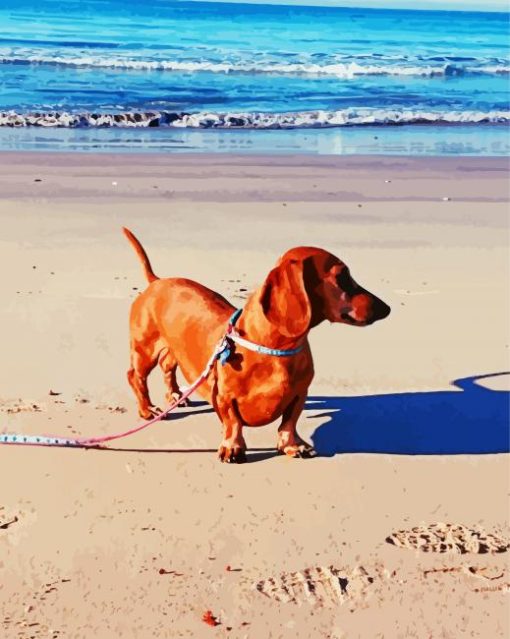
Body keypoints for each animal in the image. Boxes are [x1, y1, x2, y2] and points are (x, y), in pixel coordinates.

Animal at [123, 228, 390, 462]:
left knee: (168, 367)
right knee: (136, 376)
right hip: (144, 349)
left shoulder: (299, 393)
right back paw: (147, 410)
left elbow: (289, 421)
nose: (386, 308)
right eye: (342, 277)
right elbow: (232, 422)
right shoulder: (224, 396)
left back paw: (177, 395)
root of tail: (156, 282)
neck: (275, 349)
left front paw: (293, 445)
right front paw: (232, 447)